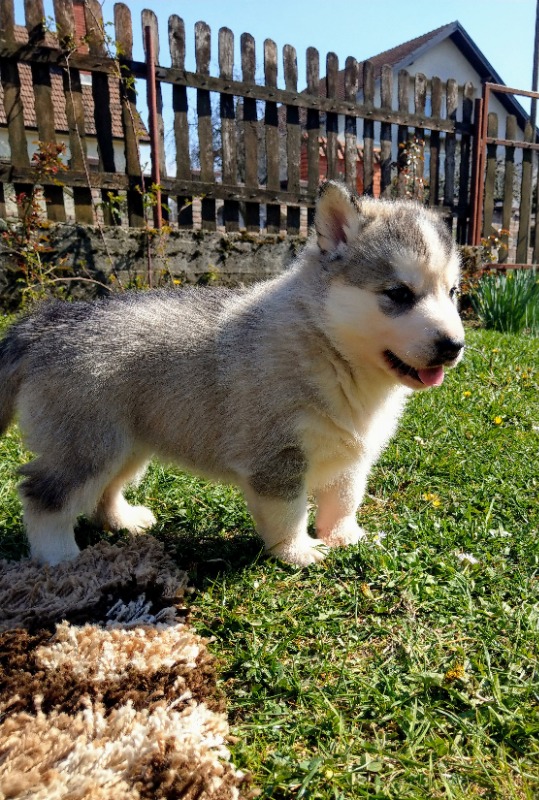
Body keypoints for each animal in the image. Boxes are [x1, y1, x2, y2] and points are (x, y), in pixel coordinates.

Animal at [0, 181, 464, 568]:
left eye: (454, 292)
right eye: (398, 294)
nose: (454, 346)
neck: (331, 350)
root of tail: (47, 321)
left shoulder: (351, 455)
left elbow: (344, 499)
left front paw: (345, 537)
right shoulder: (277, 456)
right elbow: (288, 511)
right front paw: (298, 552)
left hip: (128, 443)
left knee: (106, 489)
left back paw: (123, 520)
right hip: (88, 445)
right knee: (44, 494)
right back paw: (59, 557)